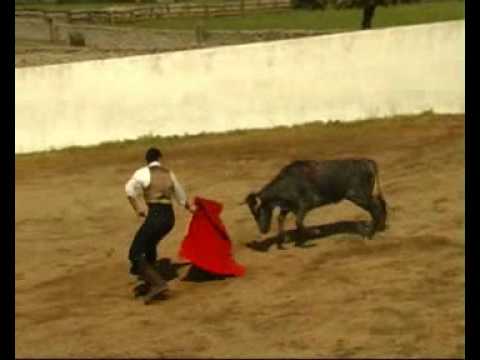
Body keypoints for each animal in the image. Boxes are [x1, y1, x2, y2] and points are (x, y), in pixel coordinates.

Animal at [246, 159, 388, 249]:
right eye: (253, 214)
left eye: (258, 211)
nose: (263, 230)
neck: (286, 185)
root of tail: (367, 162)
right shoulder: (287, 207)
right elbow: (281, 219)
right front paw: (282, 241)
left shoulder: (304, 205)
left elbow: (298, 222)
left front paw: (314, 232)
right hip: (363, 196)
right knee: (380, 204)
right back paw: (377, 227)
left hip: (359, 196)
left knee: (376, 207)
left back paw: (369, 234)